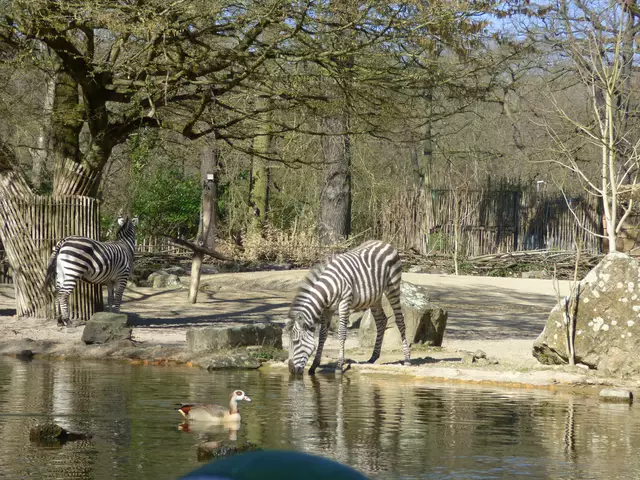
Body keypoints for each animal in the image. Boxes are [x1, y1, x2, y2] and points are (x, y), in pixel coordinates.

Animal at [287, 240, 411, 375]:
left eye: (296, 341)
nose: (291, 369)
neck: (329, 287)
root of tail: (384, 242)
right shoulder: (327, 309)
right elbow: (322, 335)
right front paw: (314, 365)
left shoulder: (344, 302)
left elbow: (341, 333)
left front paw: (339, 366)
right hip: (375, 297)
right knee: (381, 321)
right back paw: (373, 357)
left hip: (392, 288)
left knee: (400, 320)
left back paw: (407, 359)